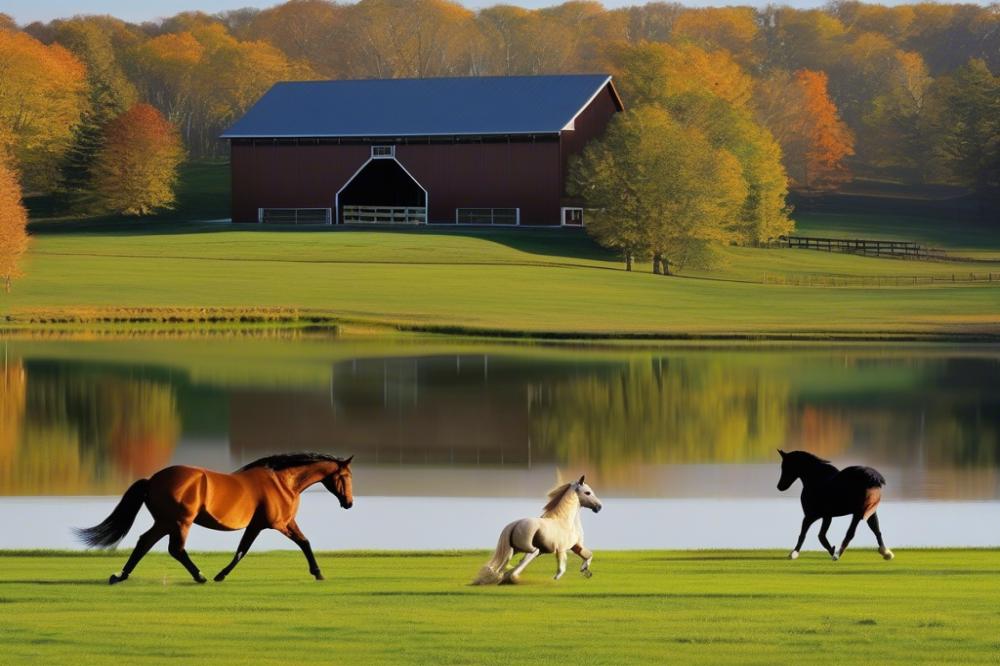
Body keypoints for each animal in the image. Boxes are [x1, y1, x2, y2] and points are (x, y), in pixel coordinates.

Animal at [76, 452, 354, 585]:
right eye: (346, 476)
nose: (349, 503)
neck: (282, 482)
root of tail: (153, 479)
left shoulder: (262, 525)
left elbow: (244, 549)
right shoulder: (278, 524)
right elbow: (300, 543)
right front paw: (318, 573)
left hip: (165, 522)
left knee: (144, 542)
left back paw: (120, 576)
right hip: (180, 522)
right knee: (175, 549)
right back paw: (199, 576)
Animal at [472, 475, 602, 585]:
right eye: (587, 492)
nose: (599, 507)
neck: (565, 521)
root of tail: (514, 525)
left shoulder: (576, 546)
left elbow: (588, 555)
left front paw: (585, 570)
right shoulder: (561, 549)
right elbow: (561, 569)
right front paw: (554, 579)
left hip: (512, 550)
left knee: (500, 565)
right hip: (530, 549)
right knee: (524, 559)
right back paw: (512, 577)